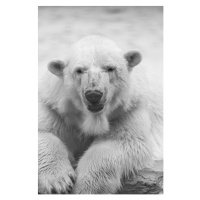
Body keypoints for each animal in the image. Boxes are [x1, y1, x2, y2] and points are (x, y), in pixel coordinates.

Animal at [38, 34, 162, 194]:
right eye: (79, 70)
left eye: (110, 68)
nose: (93, 95)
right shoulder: (53, 106)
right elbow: (44, 132)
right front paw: (58, 182)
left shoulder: (127, 110)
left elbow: (124, 142)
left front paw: (85, 188)